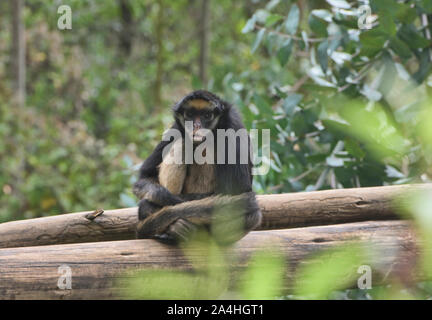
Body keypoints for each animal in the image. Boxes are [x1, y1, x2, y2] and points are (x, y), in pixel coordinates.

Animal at [132, 90, 262, 245]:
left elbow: (238, 193)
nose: (196, 126)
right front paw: (169, 199)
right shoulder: (176, 128)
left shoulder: (233, 126)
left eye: (206, 115)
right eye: (190, 115)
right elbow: (144, 177)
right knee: (183, 143)